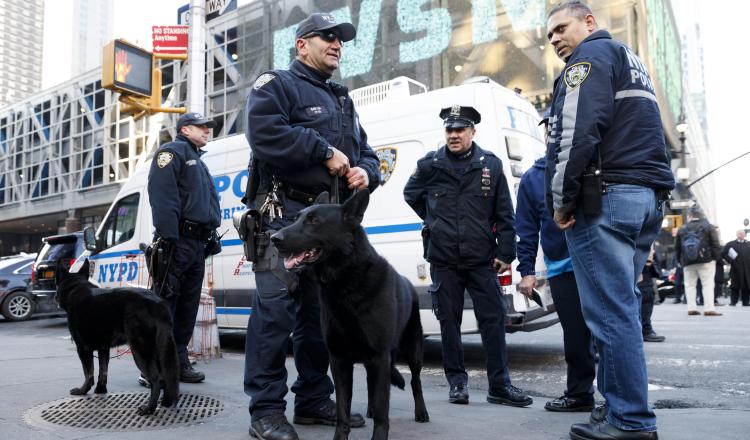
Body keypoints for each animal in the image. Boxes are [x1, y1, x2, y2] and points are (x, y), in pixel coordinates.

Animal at [54, 260, 181, 414]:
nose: (55, 297)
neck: (76, 287)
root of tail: (159, 305)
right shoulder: (104, 349)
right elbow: (103, 371)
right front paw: (101, 390)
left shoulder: (83, 349)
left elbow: (88, 373)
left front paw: (83, 390)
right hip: (160, 351)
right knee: (168, 377)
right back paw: (166, 402)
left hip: (139, 352)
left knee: (158, 379)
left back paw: (149, 408)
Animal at [274, 189, 432, 440]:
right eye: (296, 218)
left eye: (314, 221)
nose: (274, 238)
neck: (346, 282)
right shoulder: (339, 361)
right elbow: (342, 411)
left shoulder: (380, 357)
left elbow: (383, 411)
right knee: (371, 383)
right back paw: (370, 409)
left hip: (413, 351)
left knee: (415, 382)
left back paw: (421, 412)